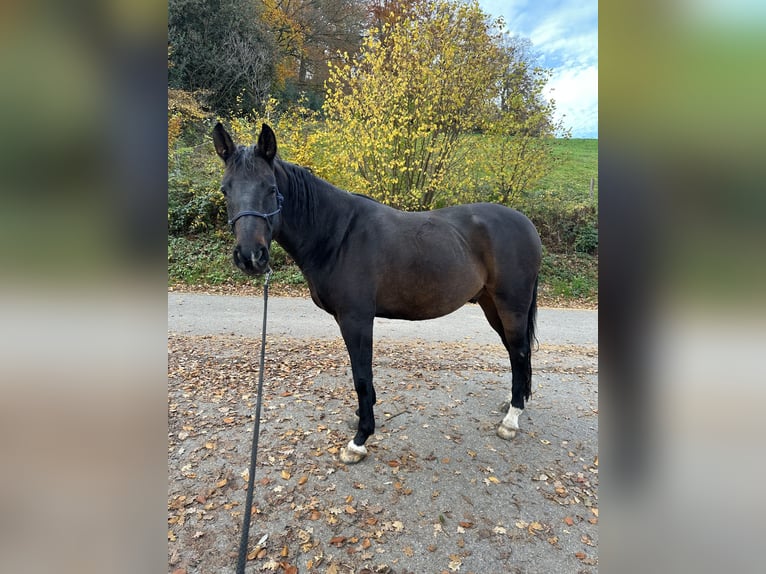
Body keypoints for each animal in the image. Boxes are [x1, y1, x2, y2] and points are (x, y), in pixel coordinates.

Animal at [212, 122, 542, 464]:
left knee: (519, 352)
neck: (338, 235)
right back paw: (514, 403)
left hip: (511, 305)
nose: (250, 257)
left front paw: (359, 440)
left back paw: (511, 420)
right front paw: (362, 418)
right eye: (225, 190)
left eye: (269, 188)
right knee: (516, 352)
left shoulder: (356, 319)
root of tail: (527, 224)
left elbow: (362, 376)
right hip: (492, 305)